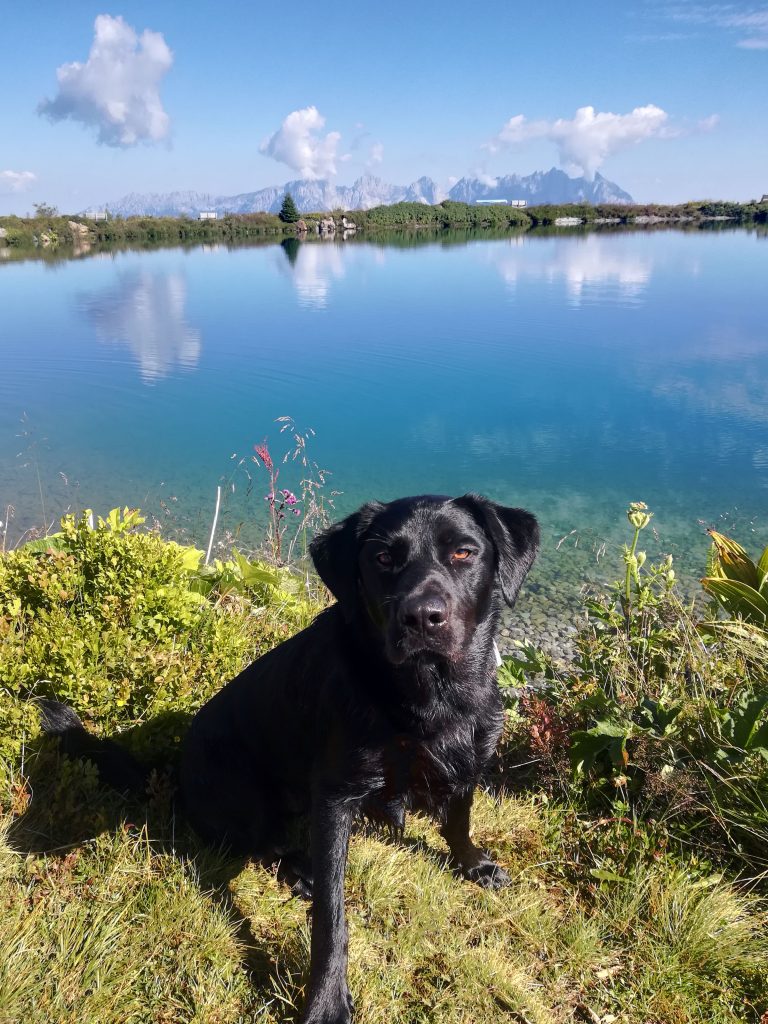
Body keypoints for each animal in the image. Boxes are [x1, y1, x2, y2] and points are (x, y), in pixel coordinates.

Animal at [180, 491, 540, 1019]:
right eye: (383, 558)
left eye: (463, 552)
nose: (422, 617)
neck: (429, 695)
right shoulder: (333, 797)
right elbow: (331, 918)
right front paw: (327, 999)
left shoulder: (472, 754)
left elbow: (459, 818)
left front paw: (472, 863)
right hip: (242, 794)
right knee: (265, 842)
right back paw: (301, 869)